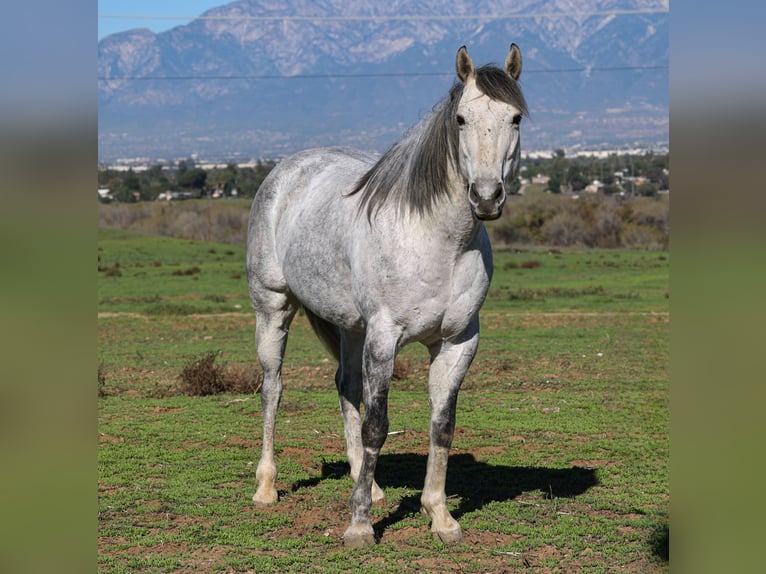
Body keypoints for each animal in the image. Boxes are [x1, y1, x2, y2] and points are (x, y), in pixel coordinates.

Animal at [246, 44, 527, 547]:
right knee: (273, 389)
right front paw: (359, 526)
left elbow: (442, 425)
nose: (486, 197)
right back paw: (267, 488)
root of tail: (287, 170)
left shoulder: (458, 342)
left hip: (349, 325)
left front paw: (440, 517)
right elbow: (378, 424)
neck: (438, 240)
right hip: (274, 308)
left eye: (514, 118)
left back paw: (371, 485)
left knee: (346, 386)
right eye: (460, 119)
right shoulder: (384, 337)